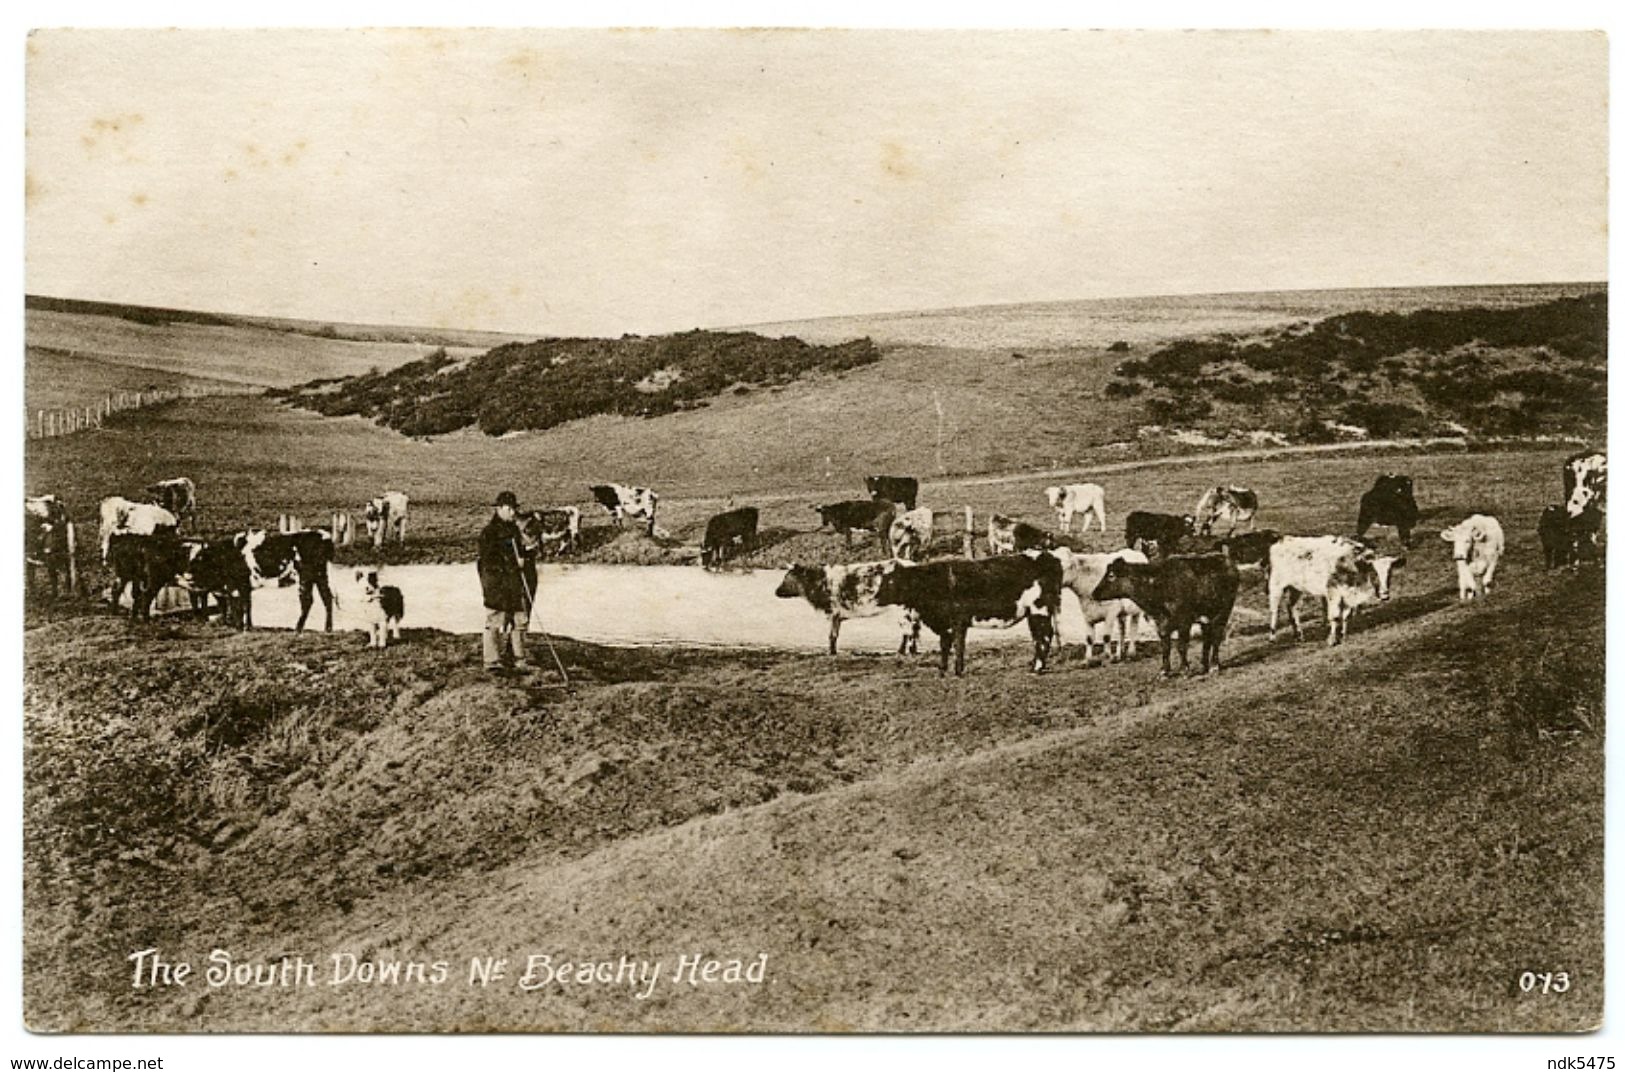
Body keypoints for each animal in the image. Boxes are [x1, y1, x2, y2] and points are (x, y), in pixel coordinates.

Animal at [776, 561, 929, 652]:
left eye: (787, 577)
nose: (776, 592)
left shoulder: (833, 613)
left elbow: (831, 635)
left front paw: (831, 652)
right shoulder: (838, 616)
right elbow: (835, 635)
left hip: (903, 610)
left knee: (909, 631)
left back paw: (905, 651)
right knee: (911, 630)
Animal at [877, 548, 1066, 675]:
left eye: (892, 581)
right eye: (883, 579)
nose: (877, 598)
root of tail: (1048, 556)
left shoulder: (958, 621)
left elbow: (958, 646)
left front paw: (958, 672)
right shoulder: (945, 624)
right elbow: (944, 646)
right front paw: (942, 671)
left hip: (1039, 608)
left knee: (1044, 635)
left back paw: (1037, 668)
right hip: (1033, 612)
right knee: (1039, 636)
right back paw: (1034, 666)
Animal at [1092, 552, 1241, 678]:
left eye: (1111, 575)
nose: (1094, 593)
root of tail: (1225, 558)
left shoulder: (1184, 621)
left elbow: (1181, 646)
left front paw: (1184, 670)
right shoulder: (1161, 624)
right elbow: (1165, 647)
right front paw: (1164, 672)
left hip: (1223, 612)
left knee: (1216, 637)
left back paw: (1214, 666)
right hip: (1207, 616)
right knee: (1207, 638)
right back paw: (1204, 665)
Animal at [1261, 536, 1404, 646]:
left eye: (1389, 574)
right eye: (1374, 573)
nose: (1385, 595)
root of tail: (1281, 541)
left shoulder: (1348, 594)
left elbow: (1346, 616)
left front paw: (1343, 635)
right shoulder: (1333, 592)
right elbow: (1334, 616)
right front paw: (1332, 640)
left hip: (1296, 587)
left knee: (1291, 607)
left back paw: (1299, 636)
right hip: (1276, 585)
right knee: (1274, 611)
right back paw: (1272, 637)